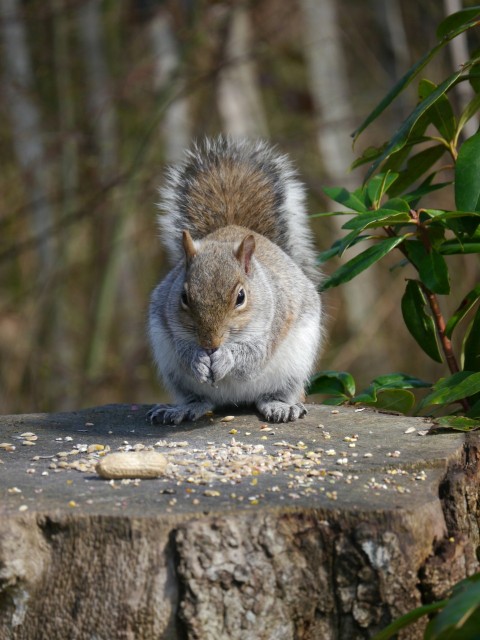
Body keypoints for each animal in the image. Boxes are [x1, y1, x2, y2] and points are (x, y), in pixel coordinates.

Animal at [147, 137, 323, 425]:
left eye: (241, 297)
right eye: (184, 297)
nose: (210, 344)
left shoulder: (275, 320)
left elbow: (252, 356)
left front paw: (226, 358)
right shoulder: (167, 321)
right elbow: (182, 348)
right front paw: (196, 359)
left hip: (294, 367)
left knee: (275, 393)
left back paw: (280, 405)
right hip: (174, 373)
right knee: (201, 399)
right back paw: (183, 408)